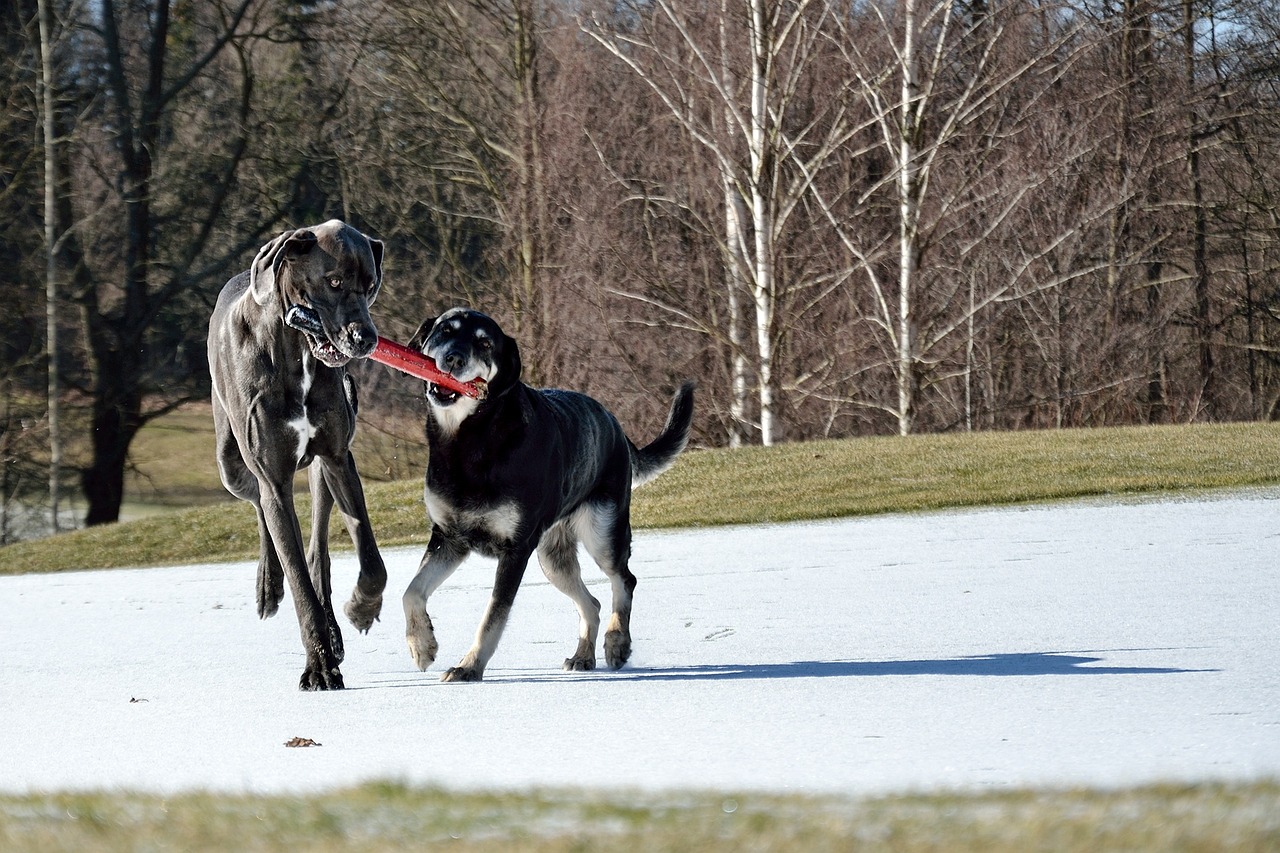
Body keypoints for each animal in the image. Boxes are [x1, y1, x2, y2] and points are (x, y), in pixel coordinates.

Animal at [207, 220, 386, 691]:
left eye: (370, 286)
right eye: (334, 282)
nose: (366, 340)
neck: (295, 350)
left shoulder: (339, 458)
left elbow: (371, 559)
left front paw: (361, 607)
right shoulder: (272, 475)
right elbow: (299, 583)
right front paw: (319, 666)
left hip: (320, 471)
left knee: (316, 551)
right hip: (230, 462)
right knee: (259, 505)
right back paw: (269, 584)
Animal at [404, 308, 696, 681]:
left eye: (485, 343)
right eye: (444, 330)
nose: (453, 358)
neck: (471, 439)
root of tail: (616, 426)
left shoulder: (515, 550)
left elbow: (493, 616)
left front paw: (469, 666)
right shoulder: (449, 538)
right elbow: (412, 591)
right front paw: (422, 645)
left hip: (602, 533)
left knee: (624, 580)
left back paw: (617, 642)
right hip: (551, 558)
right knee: (592, 603)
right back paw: (583, 656)